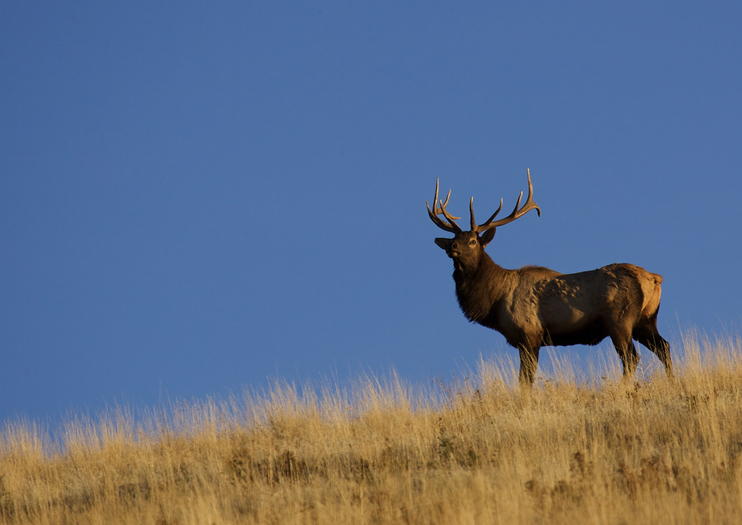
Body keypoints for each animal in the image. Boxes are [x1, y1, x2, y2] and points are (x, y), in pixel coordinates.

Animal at [424, 170, 676, 382]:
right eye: (454, 239)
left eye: (473, 241)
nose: (452, 247)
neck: (494, 300)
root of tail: (655, 279)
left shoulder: (529, 333)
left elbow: (525, 379)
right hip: (646, 319)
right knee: (664, 347)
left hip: (620, 319)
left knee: (631, 357)